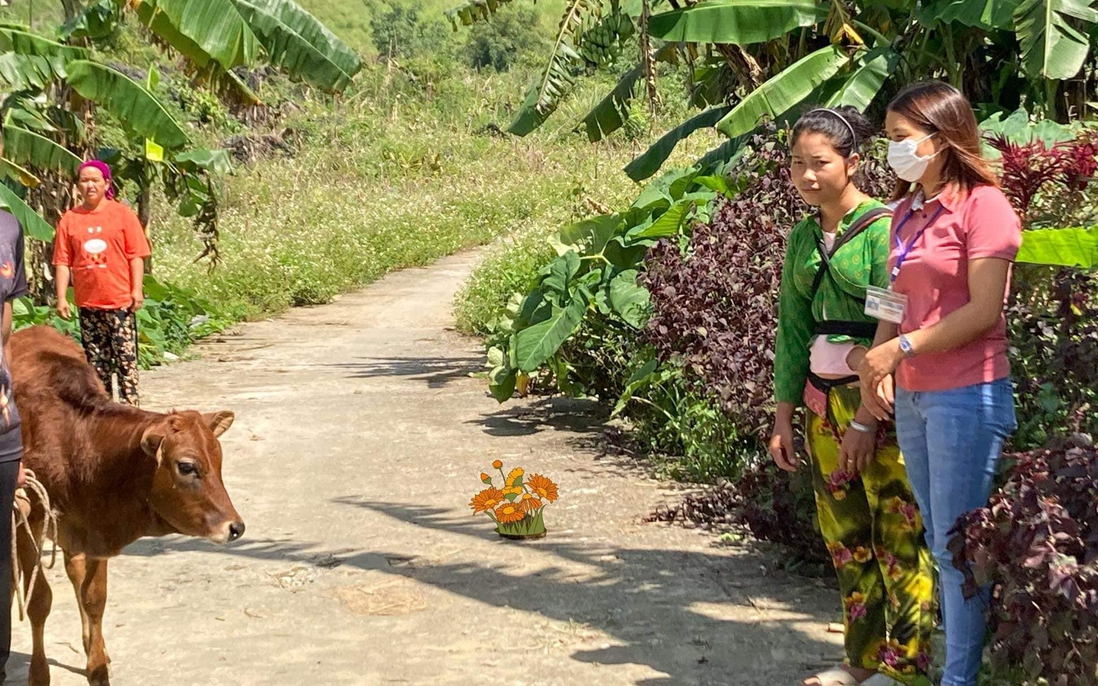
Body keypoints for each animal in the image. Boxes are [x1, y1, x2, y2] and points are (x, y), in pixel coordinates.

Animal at [10, 327, 243, 684]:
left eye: (219, 461)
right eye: (187, 466)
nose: (234, 527)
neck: (73, 441)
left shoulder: (93, 528)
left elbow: (94, 598)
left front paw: (97, 666)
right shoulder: (29, 520)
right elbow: (38, 601)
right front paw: (39, 674)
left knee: (75, 574)